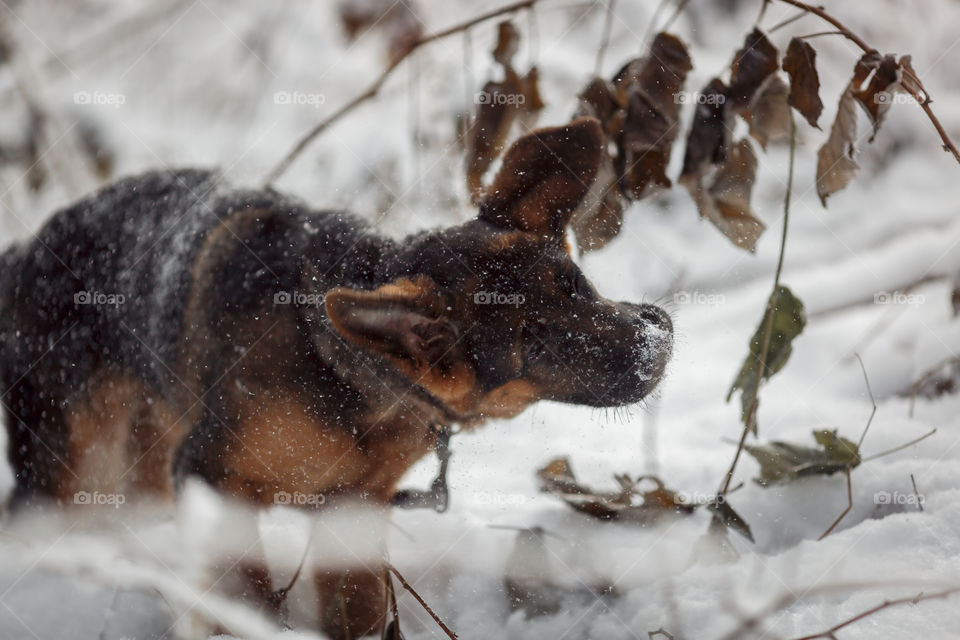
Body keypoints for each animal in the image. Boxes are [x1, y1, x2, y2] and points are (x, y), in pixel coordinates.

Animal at [0, 117, 672, 636]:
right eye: (534, 344)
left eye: (578, 285)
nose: (659, 335)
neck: (344, 381)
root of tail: (24, 250)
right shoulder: (214, 483)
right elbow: (247, 597)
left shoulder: (354, 510)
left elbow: (361, 610)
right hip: (71, 464)